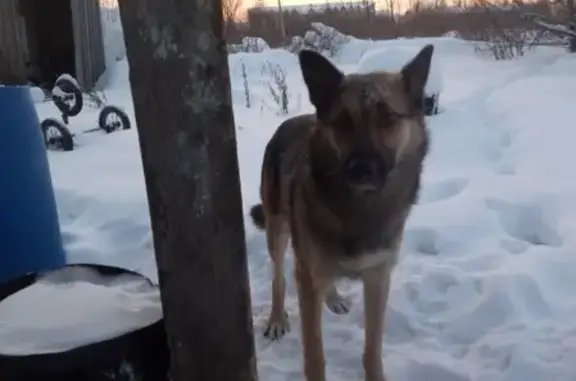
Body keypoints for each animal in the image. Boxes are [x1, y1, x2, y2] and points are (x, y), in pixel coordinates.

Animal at [248, 45, 432, 380]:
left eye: (388, 117)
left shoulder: (378, 278)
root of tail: (292, 121)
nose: (361, 169)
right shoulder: (307, 281)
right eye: (344, 121)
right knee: (279, 276)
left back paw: (332, 296)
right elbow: (314, 356)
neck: (359, 209)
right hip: (278, 229)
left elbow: (372, 350)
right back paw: (278, 318)